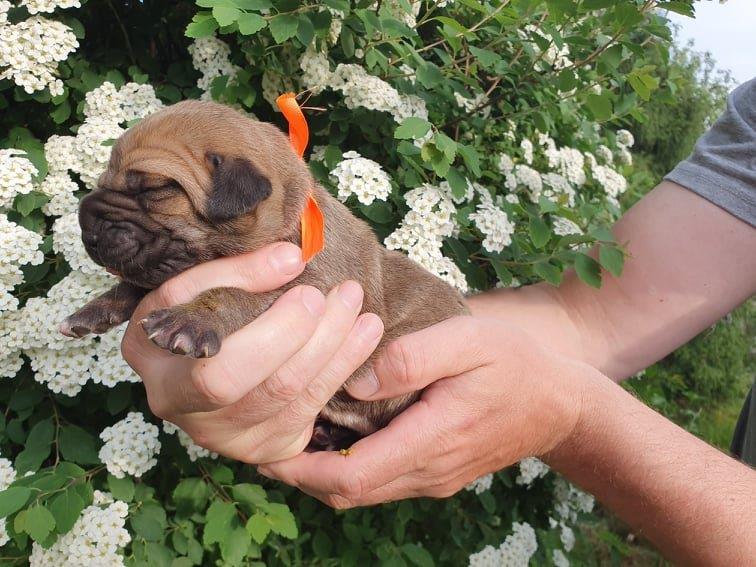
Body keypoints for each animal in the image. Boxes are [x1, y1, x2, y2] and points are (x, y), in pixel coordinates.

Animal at [62, 101, 470, 448]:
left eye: (154, 189)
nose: (87, 223)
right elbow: (132, 285)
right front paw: (92, 311)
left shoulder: (310, 285)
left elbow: (235, 294)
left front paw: (192, 320)